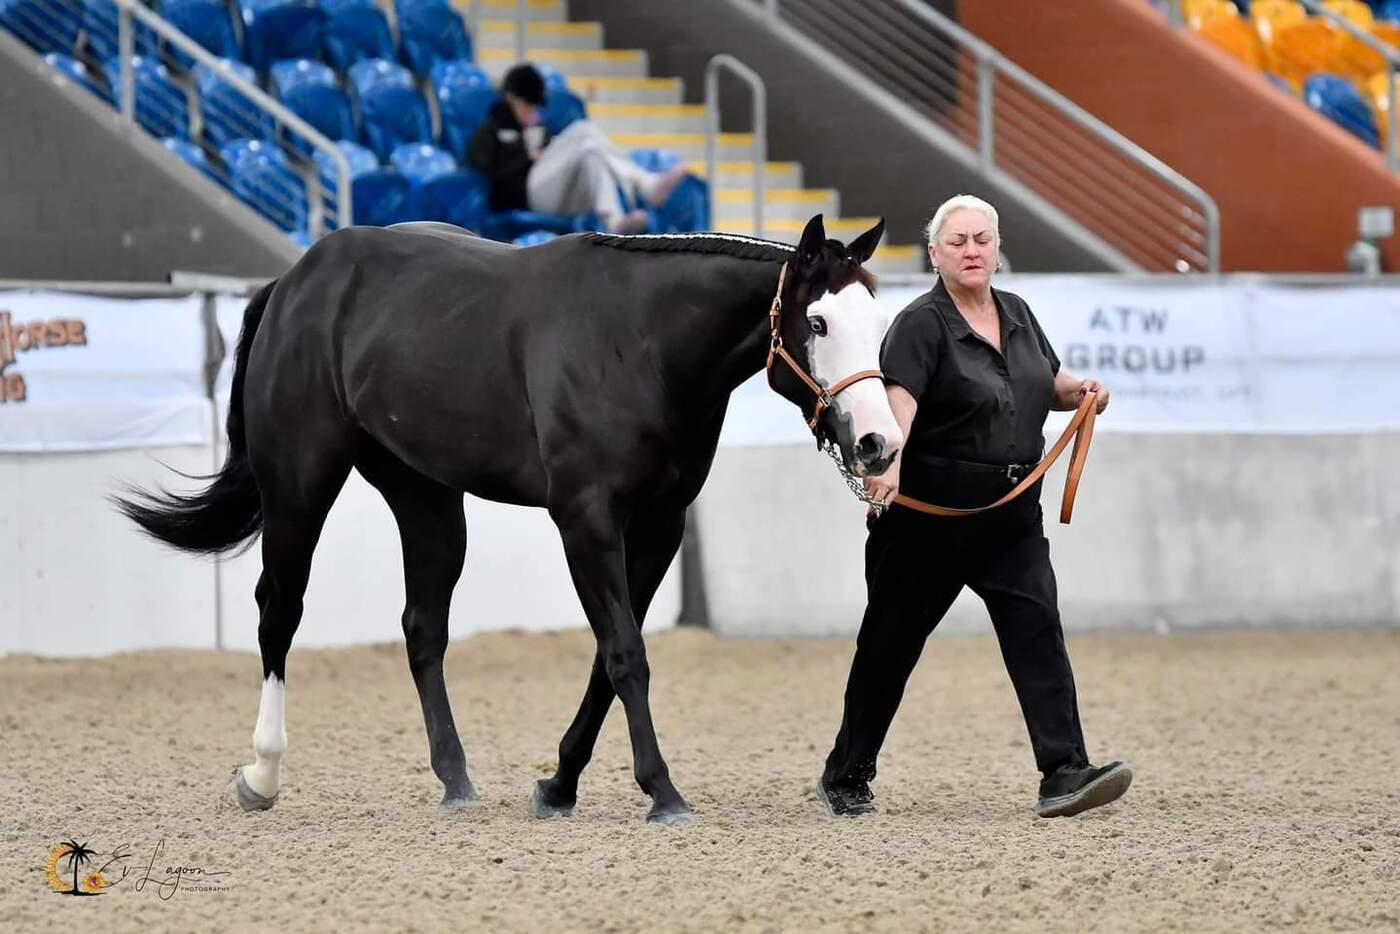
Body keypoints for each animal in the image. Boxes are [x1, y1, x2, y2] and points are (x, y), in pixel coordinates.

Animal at [116, 213, 902, 824]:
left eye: (878, 323)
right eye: (818, 322)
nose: (877, 442)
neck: (638, 340)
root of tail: (293, 282)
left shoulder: (658, 526)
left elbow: (608, 658)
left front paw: (558, 786)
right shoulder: (585, 519)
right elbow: (625, 652)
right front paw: (662, 792)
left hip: (428, 501)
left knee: (422, 627)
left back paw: (455, 779)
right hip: (298, 489)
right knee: (278, 612)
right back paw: (262, 775)